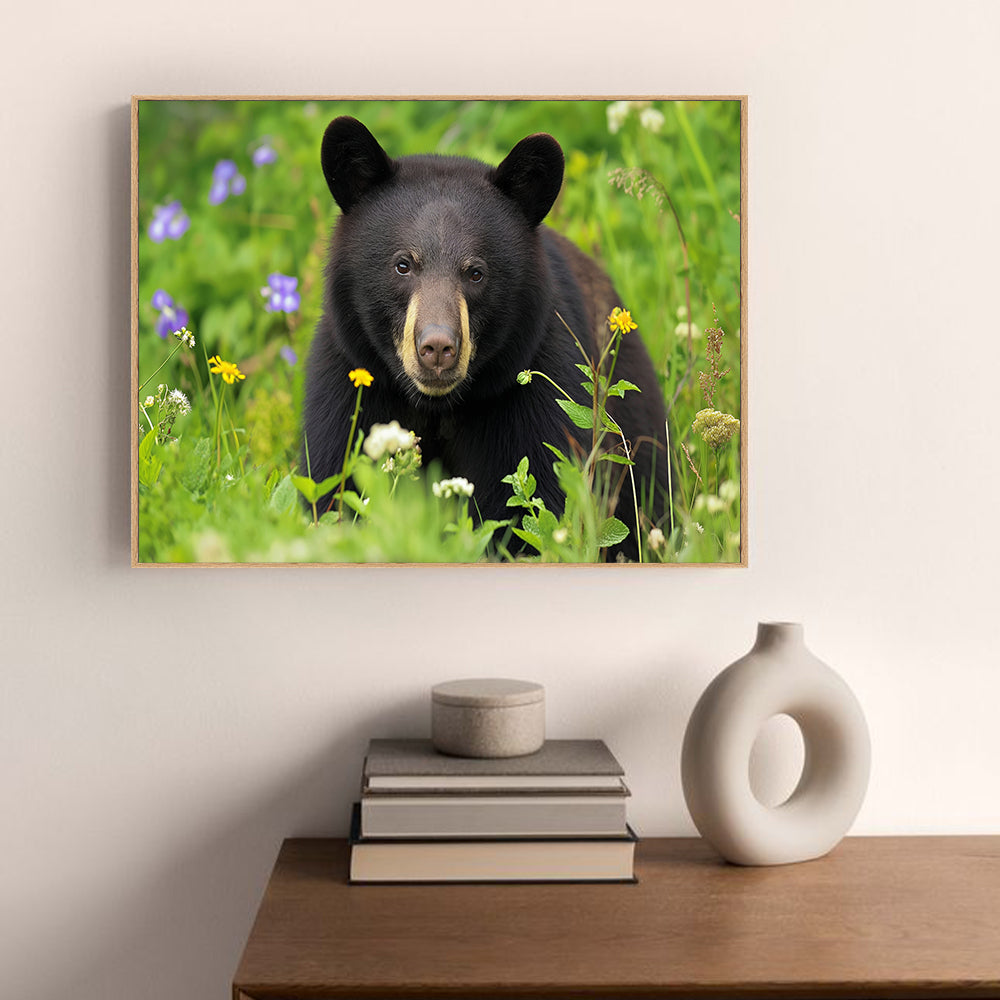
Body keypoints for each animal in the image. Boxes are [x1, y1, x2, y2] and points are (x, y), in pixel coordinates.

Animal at [301, 115, 671, 557]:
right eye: (403, 265)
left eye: (476, 272)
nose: (437, 347)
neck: (438, 409)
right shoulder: (350, 388)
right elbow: (333, 485)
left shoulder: (534, 398)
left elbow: (536, 506)